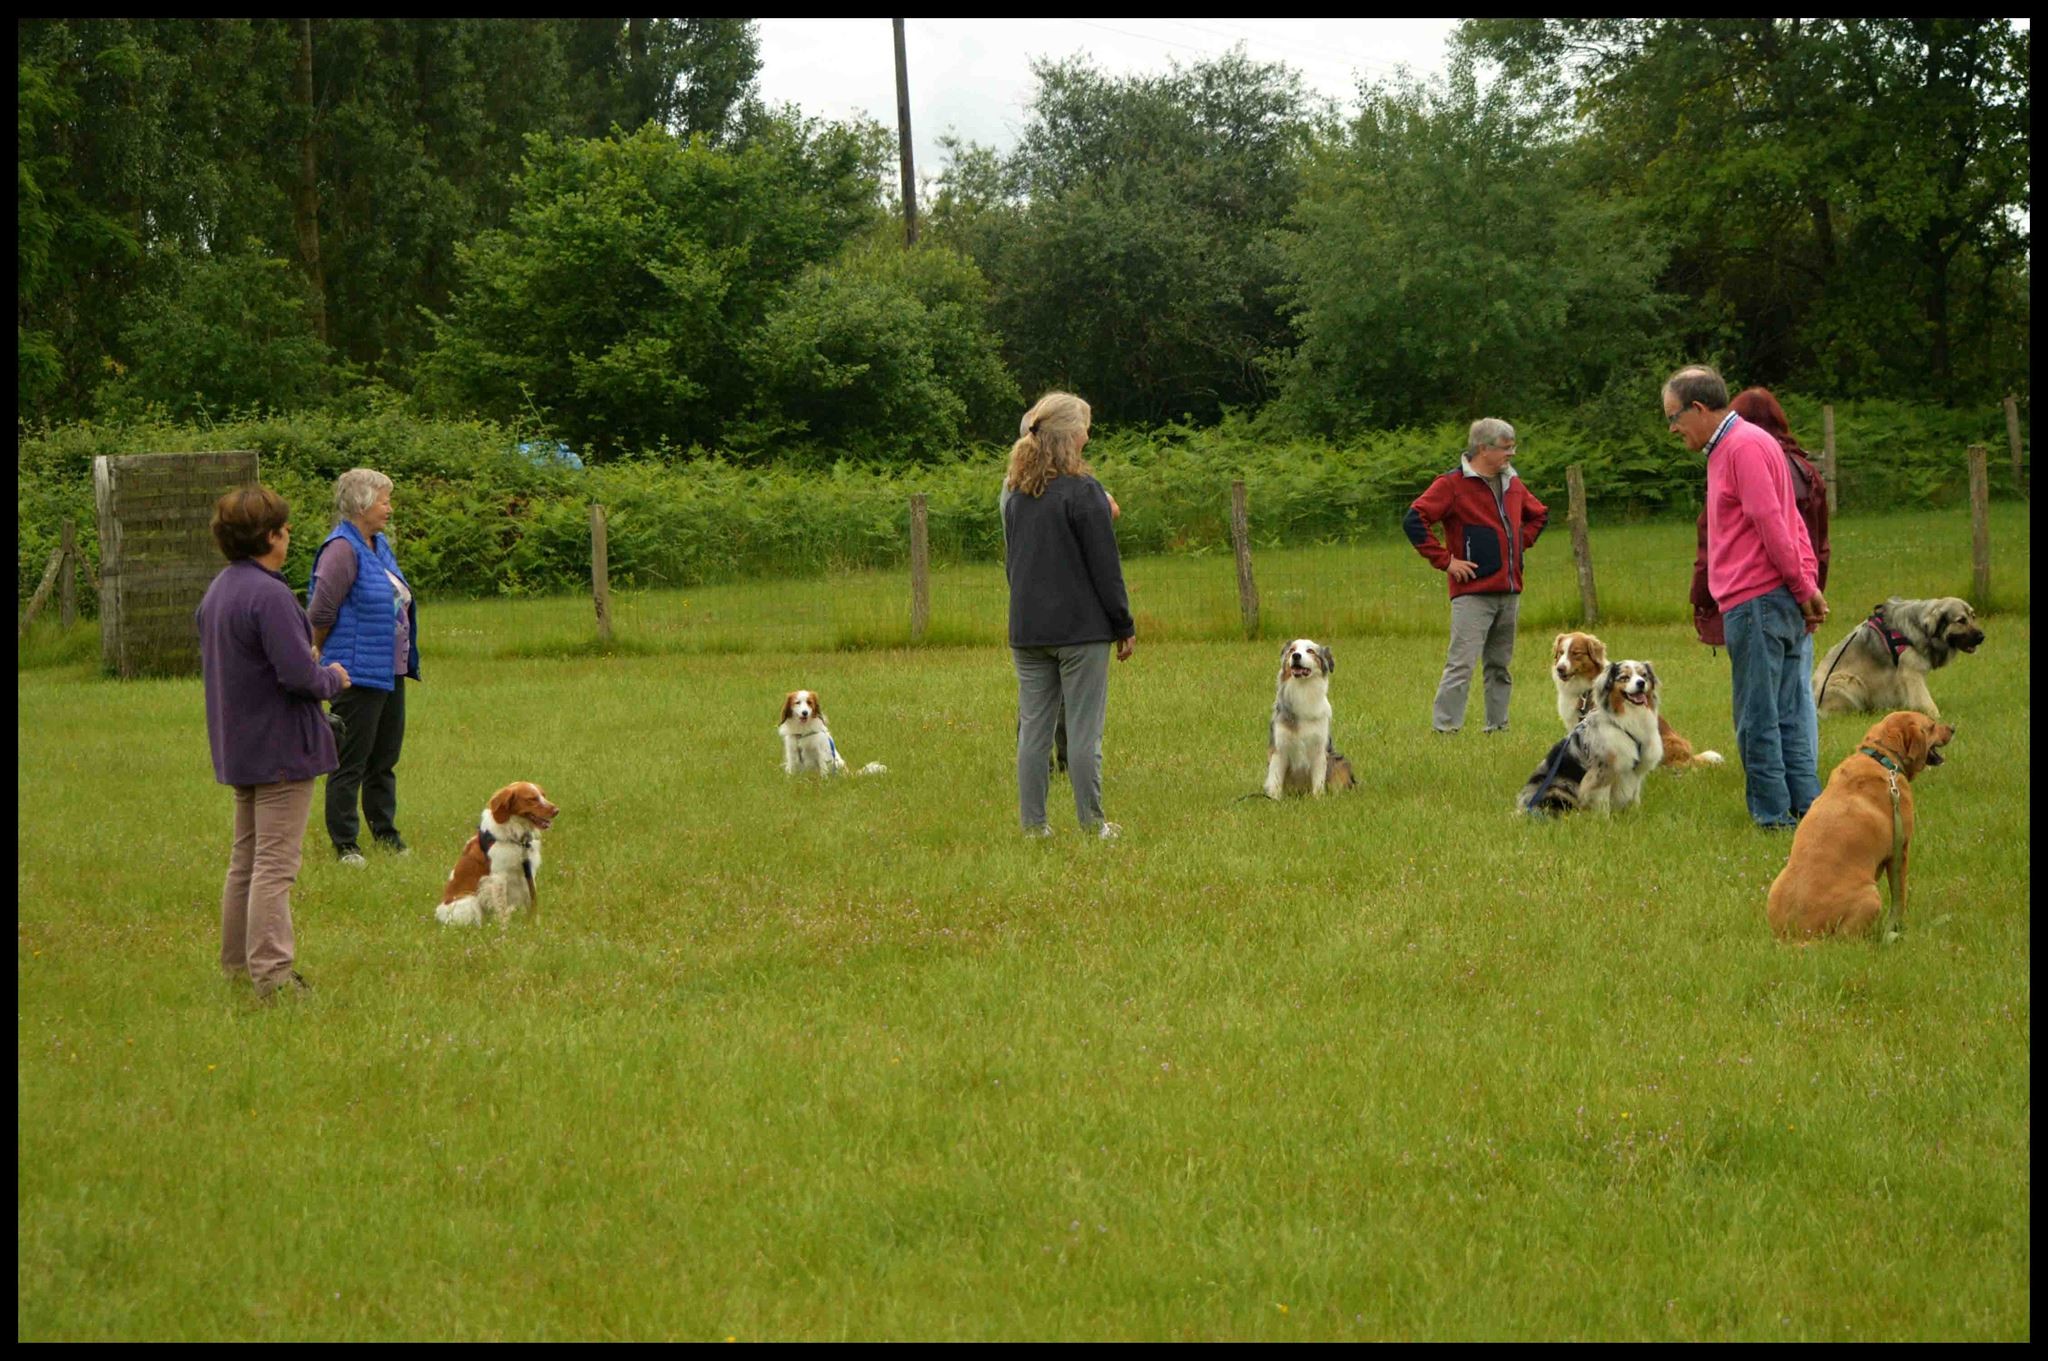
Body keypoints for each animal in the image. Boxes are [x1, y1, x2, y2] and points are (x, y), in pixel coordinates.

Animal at [1261, 638, 1359, 798]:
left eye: (1310, 651)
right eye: (1292, 650)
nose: (1296, 656)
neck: (1303, 689)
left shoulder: (1319, 748)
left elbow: (1318, 779)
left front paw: (1318, 798)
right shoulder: (1279, 747)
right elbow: (1275, 780)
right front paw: (1274, 800)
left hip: (1338, 761)